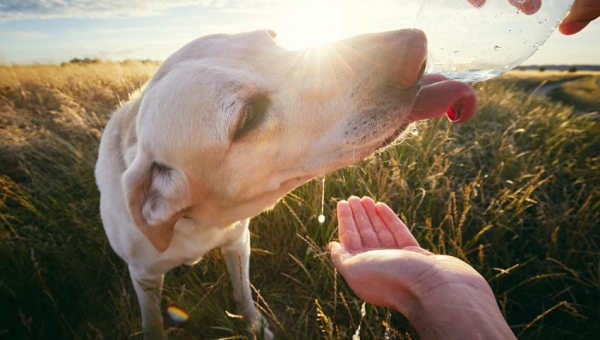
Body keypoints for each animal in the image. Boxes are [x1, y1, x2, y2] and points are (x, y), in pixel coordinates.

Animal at [95, 27, 474, 338]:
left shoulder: (238, 243)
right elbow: (153, 321)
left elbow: (243, 294)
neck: (195, 222)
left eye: (274, 39)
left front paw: (254, 327)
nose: (417, 45)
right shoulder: (144, 276)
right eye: (248, 116)